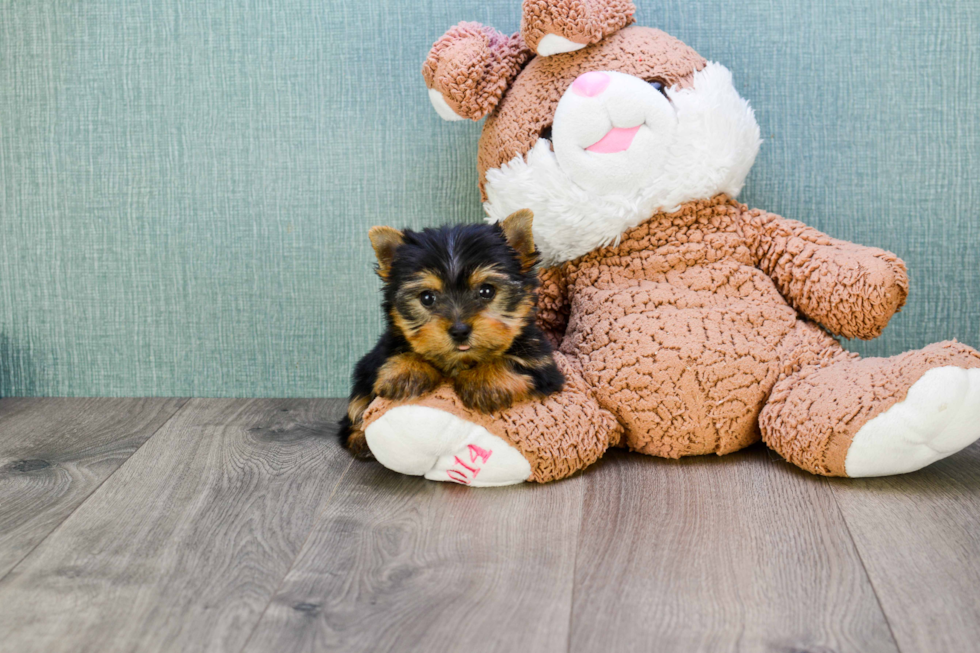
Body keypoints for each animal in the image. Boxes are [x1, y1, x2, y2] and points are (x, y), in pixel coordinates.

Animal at [338, 210, 564, 458]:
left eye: (487, 291)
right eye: (427, 298)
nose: (459, 330)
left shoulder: (541, 362)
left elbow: (517, 361)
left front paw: (485, 381)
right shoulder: (378, 356)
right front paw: (407, 371)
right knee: (356, 405)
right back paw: (360, 439)